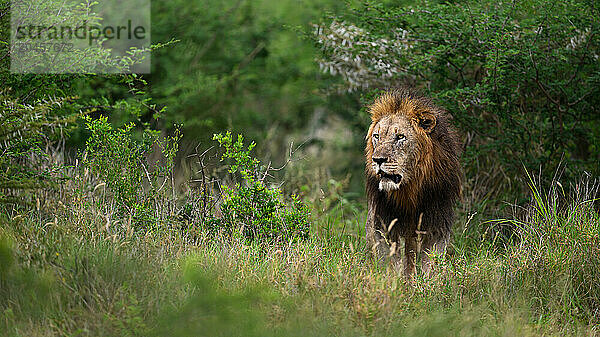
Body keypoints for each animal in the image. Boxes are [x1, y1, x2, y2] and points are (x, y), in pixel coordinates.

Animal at [364, 88, 462, 276]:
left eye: (400, 137)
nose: (377, 159)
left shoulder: (436, 222)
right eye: (377, 136)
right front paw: (395, 280)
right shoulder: (384, 223)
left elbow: (429, 261)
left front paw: (424, 282)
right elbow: (391, 260)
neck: (409, 189)